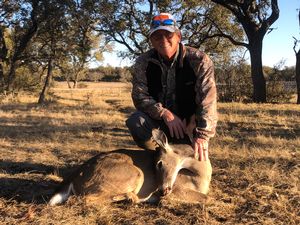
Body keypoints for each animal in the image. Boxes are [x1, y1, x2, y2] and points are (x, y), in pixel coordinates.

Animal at [49, 128, 212, 206]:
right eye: (157, 164)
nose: (162, 190)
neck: (201, 175)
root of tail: (75, 176)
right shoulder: (178, 188)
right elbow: (206, 198)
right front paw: (165, 201)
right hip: (136, 174)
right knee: (79, 199)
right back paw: (131, 198)